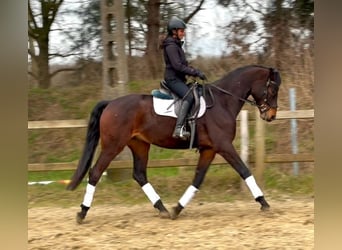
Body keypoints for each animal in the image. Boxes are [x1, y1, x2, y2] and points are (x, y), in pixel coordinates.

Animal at [66, 64, 280, 223]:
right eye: (272, 88)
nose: (271, 115)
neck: (222, 102)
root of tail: (111, 103)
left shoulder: (209, 149)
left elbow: (198, 179)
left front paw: (178, 208)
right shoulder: (224, 146)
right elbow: (244, 171)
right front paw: (264, 203)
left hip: (139, 145)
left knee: (139, 174)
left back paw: (163, 209)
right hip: (113, 146)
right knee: (95, 172)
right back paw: (82, 212)